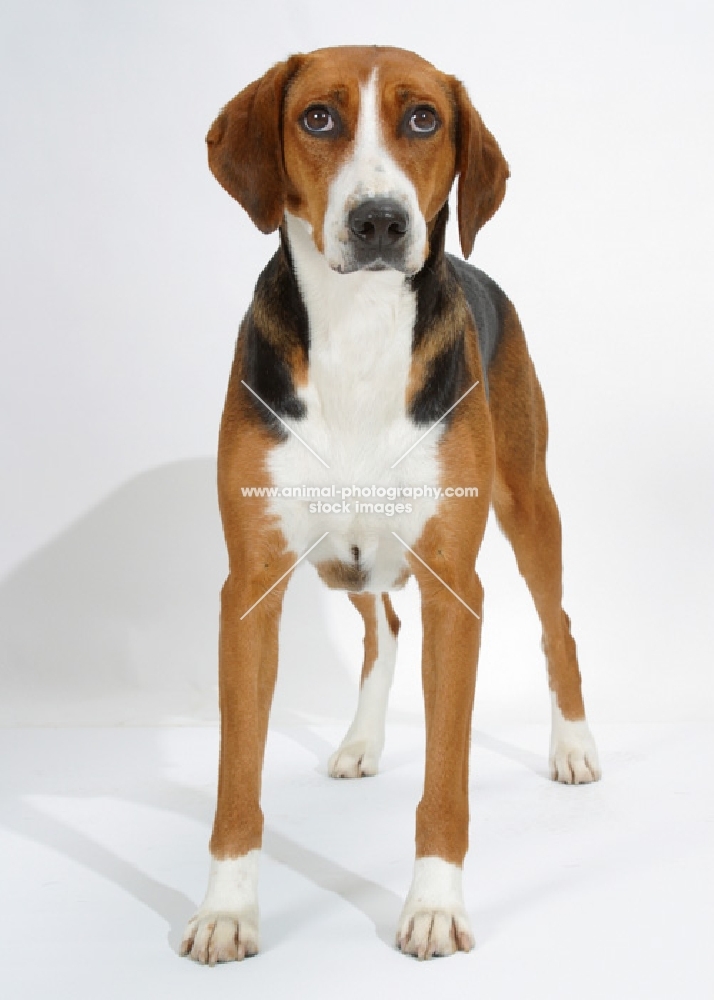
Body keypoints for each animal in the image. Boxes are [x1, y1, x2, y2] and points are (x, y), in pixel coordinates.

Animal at [178, 45, 596, 960]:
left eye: (424, 119)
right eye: (318, 117)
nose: (379, 221)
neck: (359, 331)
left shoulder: (454, 586)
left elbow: (445, 776)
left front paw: (434, 906)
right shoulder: (249, 587)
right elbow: (235, 778)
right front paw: (227, 910)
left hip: (529, 506)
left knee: (557, 624)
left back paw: (575, 746)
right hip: (341, 557)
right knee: (384, 624)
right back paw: (362, 741)